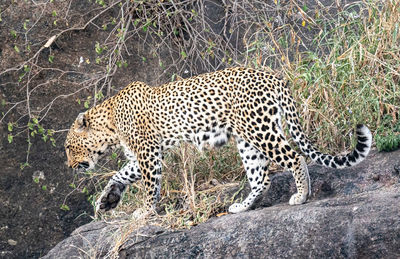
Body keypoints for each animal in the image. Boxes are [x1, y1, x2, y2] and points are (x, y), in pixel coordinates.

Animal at [63, 66, 372, 216]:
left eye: (68, 147)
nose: (68, 166)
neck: (110, 124)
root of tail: (273, 76)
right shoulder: (145, 155)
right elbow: (119, 175)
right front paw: (108, 200)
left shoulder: (148, 153)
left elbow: (150, 186)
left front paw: (145, 211)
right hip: (247, 139)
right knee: (261, 178)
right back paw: (242, 207)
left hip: (260, 129)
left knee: (294, 156)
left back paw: (301, 195)